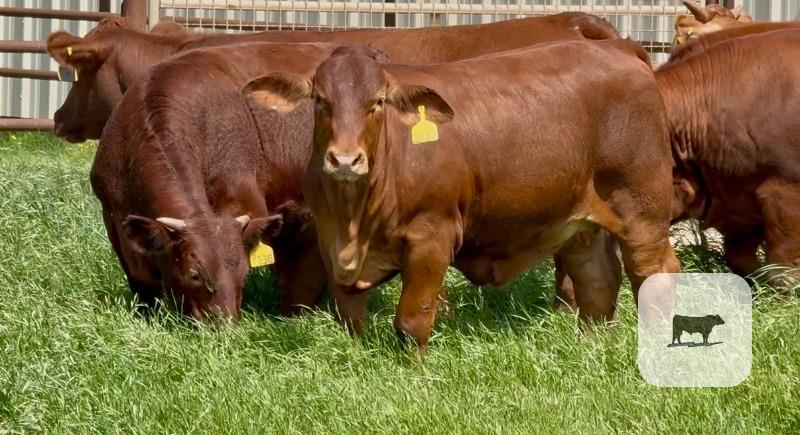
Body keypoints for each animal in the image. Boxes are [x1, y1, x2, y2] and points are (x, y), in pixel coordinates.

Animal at [92, 42, 390, 320]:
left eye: (244, 274)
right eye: (194, 275)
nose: (225, 326)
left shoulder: (245, 199)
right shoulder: (114, 219)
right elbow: (142, 286)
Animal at [243, 40, 680, 350]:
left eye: (377, 102)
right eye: (320, 99)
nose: (346, 159)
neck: (353, 221)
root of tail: (619, 49)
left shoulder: (431, 237)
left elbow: (412, 319)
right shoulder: (331, 245)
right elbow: (351, 320)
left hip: (642, 210)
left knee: (655, 273)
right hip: (578, 223)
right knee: (597, 282)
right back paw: (589, 344)